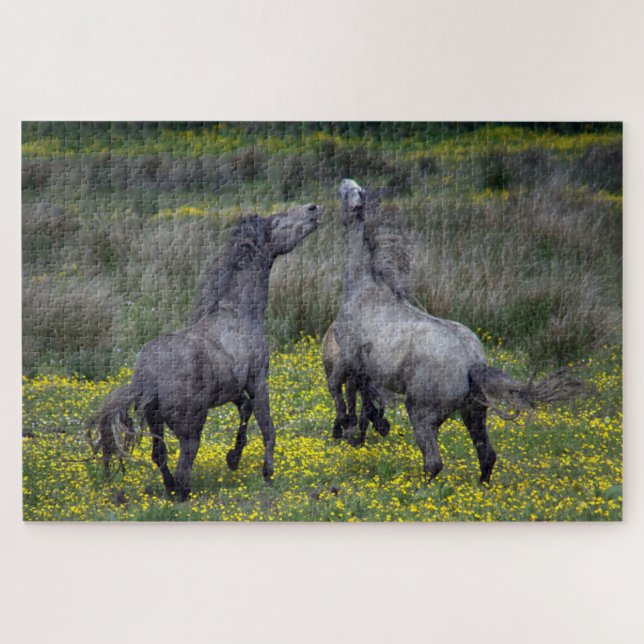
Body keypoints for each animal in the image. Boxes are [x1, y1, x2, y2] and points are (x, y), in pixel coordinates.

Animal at [87, 204, 320, 501]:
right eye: (277, 221)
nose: (313, 209)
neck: (238, 313)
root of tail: (147, 378)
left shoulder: (232, 389)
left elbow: (245, 411)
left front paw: (233, 458)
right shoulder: (258, 380)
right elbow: (267, 427)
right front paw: (267, 472)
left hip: (155, 422)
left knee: (159, 456)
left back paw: (171, 489)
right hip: (191, 427)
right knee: (183, 463)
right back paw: (183, 494)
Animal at [328, 179, 581, 483]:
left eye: (348, 193)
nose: (343, 182)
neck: (364, 287)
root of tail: (472, 363)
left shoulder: (349, 356)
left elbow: (336, 387)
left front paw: (346, 426)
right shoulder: (364, 369)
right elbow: (362, 396)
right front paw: (364, 428)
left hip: (421, 411)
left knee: (434, 462)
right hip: (473, 411)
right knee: (487, 454)